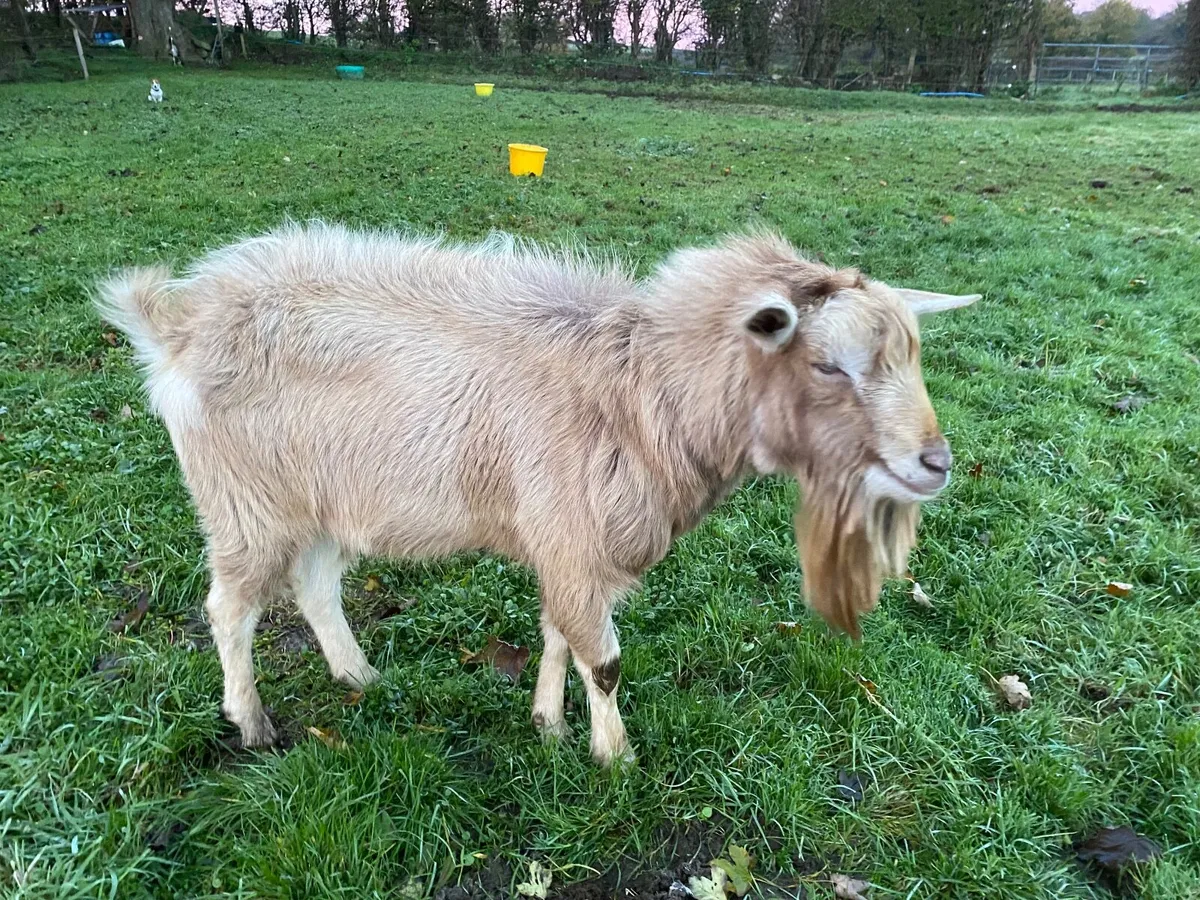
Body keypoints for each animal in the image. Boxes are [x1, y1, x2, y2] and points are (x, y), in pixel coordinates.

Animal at [96, 223, 978, 765]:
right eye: (828, 364)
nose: (935, 462)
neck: (639, 391)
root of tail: (175, 327)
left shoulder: (569, 543)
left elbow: (558, 635)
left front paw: (549, 724)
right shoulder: (573, 538)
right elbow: (605, 659)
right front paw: (615, 758)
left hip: (320, 500)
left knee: (314, 587)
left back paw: (360, 678)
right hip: (245, 502)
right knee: (229, 608)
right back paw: (251, 723)